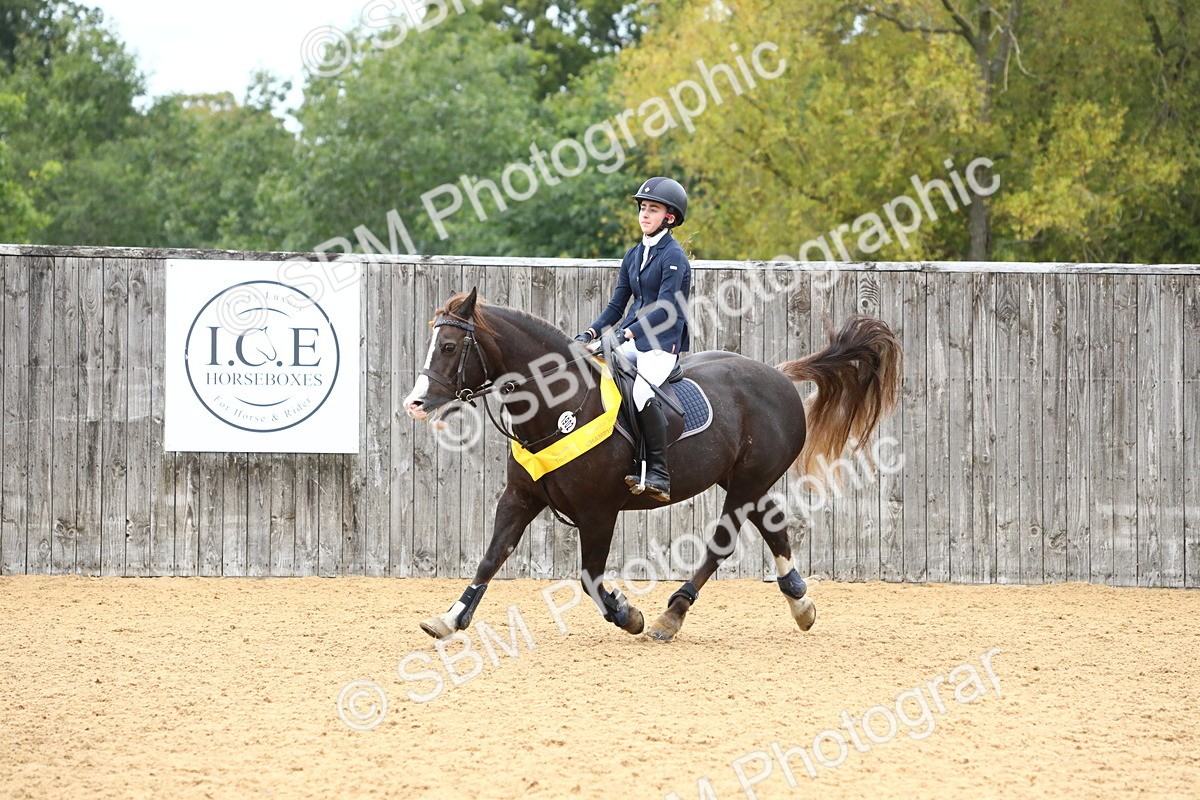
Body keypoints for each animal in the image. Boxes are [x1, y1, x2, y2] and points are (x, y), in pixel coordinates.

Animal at [402, 288, 902, 641]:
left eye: (449, 346)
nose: (415, 403)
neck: (559, 405)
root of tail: (778, 375)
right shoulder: (520, 498)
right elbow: (491, 557)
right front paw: (450, 618)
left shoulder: (598, 512)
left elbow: (590, 577)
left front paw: (629, 615)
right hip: (745, 481)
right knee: (773, 525)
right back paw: (799, 603)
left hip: (746, 483)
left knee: (721, 544)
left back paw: (671, 615)